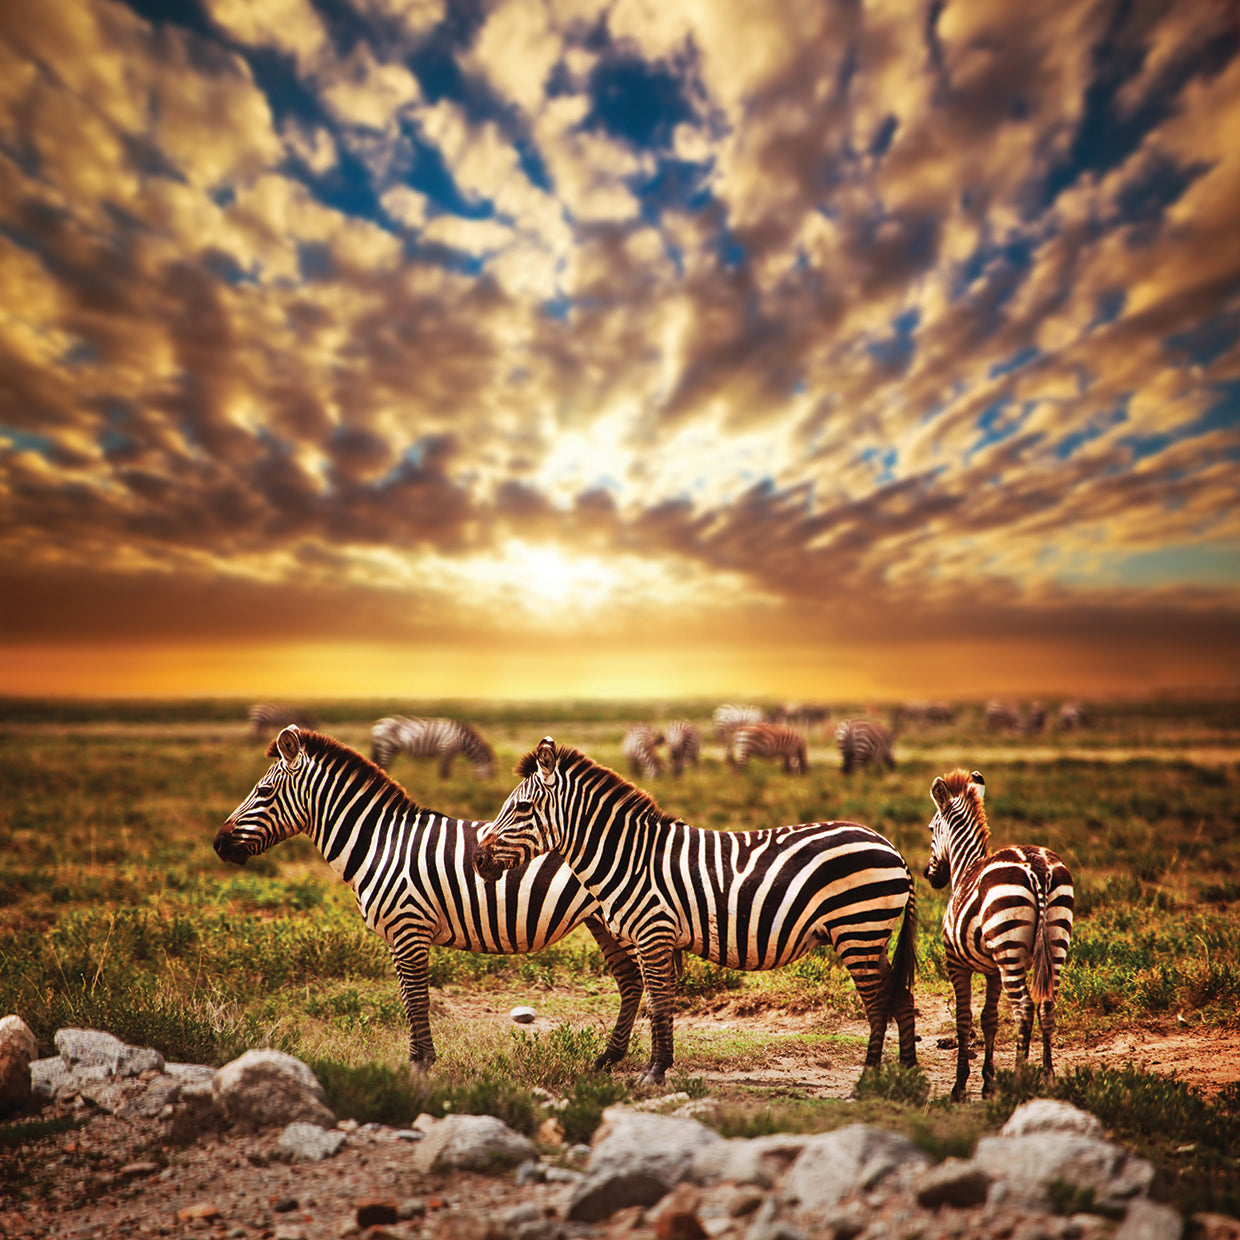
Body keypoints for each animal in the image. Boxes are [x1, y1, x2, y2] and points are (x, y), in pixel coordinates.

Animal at [214, 726, 645, 1070]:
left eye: (263, 791)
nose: (218, 844)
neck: (379, 844)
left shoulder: (409, 927)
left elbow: (417, 999)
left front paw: (421, 1064)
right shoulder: (396, 936)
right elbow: (408, 998)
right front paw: (417, 1059)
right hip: (602, 920)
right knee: (630, 980)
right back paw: (608, 1059)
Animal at [474, 737, 918, 1085]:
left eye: (523, 809)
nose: (478, 860)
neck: (629, 858)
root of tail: (891, 846)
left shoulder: (653, 932)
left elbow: (659, 1002)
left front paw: (653, 1072)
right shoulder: (650, 938)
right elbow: (659, 1002)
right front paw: (657, 1066)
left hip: (857, 929)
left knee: (878, 1001)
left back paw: (868, 1079)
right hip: (872, 936)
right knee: (901, 997)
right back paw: (907, 1074)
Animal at [923, 768, 1075, 1101]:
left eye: (930, 829)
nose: (930, 876)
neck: (965, 867)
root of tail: (1036, 865)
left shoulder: (956, 963)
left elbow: (964, 1018)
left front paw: (960, 1086)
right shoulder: (992, 970)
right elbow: (988, 1019)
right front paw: (987, 1082)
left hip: (1010, 952)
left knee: (1024, 1008)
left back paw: (1019, 1080)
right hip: (1056, 941)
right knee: (1047, 1005)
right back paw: (1048, 1078)